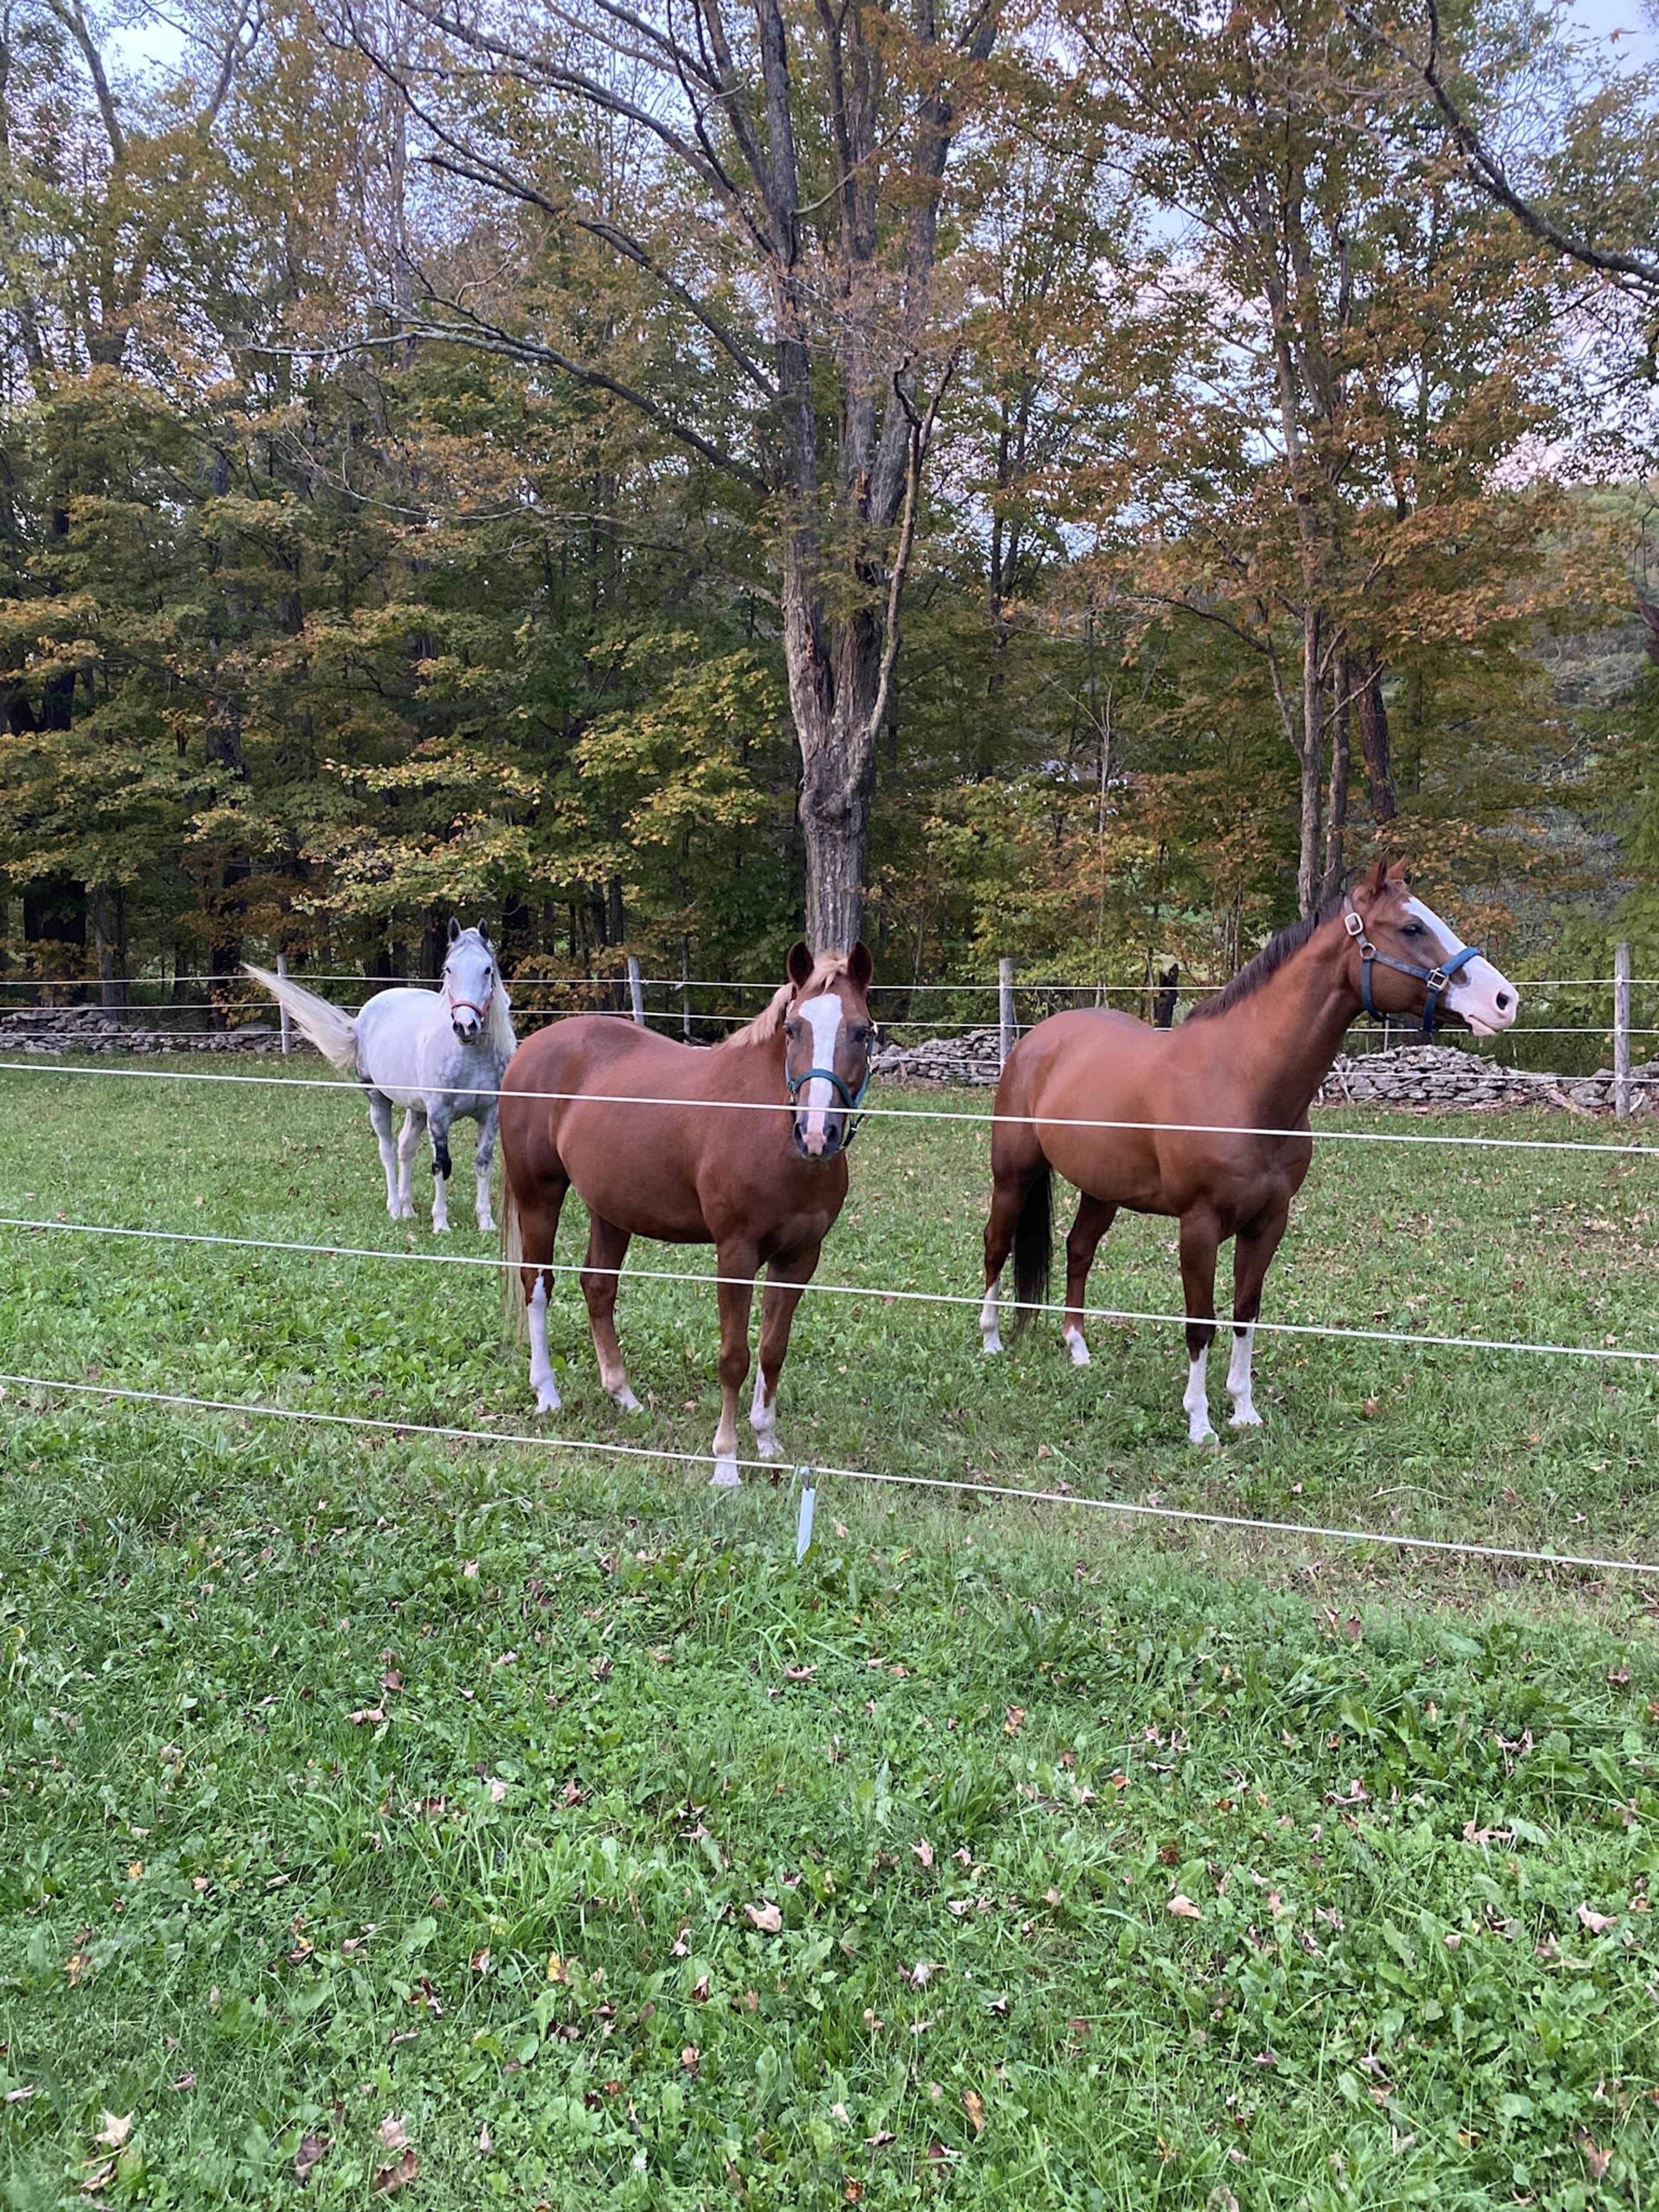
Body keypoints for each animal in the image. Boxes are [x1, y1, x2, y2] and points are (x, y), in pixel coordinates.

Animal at [245, 922, 516, 1235]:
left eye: (487, 970)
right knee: (388, 1150)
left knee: (406, 1148)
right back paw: (396, 1209)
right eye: (449, 969)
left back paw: (408, 1208)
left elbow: (483, 1163)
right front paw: (441, 1223)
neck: (469, 1056)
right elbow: (441, 1165)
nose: (465, 1025)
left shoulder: (490, 1114)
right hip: (378, 1100)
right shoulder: (439, 1116)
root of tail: (362, 1018)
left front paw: (486, 1222)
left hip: (416, 1109)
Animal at [499, 941, 874, 1487]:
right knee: (537, 1283)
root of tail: (531, 1049)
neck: (769, 1130)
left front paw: (766, 1440)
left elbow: (773, 1349)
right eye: (793, 1029)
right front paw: (727, 1462)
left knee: (598, 1286)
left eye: (862, 1030)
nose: (815, 1133)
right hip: (539, 1197)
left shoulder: (800, 1257)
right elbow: (735, 1357)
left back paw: (624, 1394)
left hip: (610, 1208)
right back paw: (547, 1392)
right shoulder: (735, 1254)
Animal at [980, 862, 1517, 1442]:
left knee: (1079, 1249)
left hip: (1102, 1189)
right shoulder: (1199, 1224)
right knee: (997, 1244)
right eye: (1411, 927)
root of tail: (1036, 1040)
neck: (1243, 1082)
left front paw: (1244, 1410)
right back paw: (990, 1340)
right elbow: (1201, 1322)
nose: (1505, 1000)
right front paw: (1200, 1423)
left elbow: (1245, 1311)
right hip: (1013, 1174)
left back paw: (1078, 1348)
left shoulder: (1268, 1221)